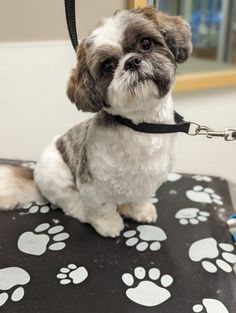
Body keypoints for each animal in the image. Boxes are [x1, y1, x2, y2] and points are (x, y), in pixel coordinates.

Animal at [0, 6, 192, 236]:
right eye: (107, 66)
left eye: (146, 43)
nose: (132, 62)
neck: (141, 127)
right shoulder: (92, 185)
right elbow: (102, 207)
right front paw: (109, 224)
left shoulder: (150, 179)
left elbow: (142, 197)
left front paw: (141, 210)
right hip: (55, 174)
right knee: (69, 201)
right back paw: (84, 212)